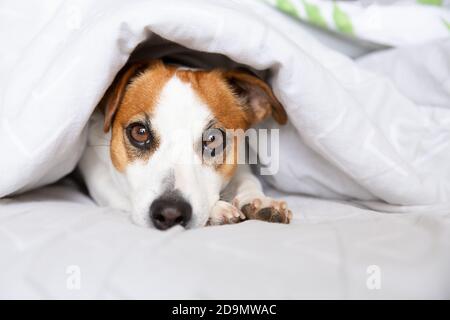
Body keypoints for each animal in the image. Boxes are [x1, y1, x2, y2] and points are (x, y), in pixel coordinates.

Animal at [79, 59, 294, 230]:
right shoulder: (96, 168)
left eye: (213, 139)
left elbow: (248, 179)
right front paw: (215, 211)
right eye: (139, 133)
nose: (170, 212)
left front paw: (260, 201)